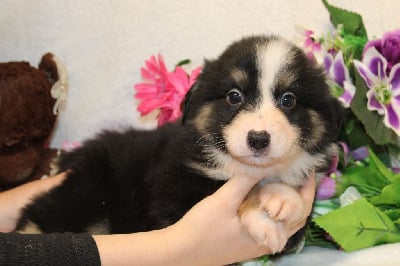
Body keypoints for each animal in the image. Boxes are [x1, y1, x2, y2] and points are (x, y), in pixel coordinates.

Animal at [16, 35, 344, 254]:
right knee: (39, 214)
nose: (258, 139)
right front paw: (267, 217)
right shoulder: (174, 188)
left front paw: (284, 198)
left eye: (289, 100)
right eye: (234, 96)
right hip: (89, 194)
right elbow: (232, 190)